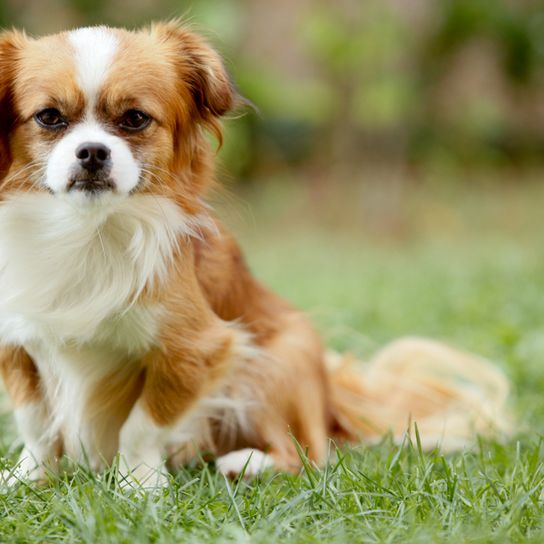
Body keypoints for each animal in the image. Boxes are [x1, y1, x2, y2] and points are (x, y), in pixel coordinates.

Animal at [0, 23, 510, 486]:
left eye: (134, 119)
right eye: (49, 117)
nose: (92, 151)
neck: (86, 232)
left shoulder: (197, 350)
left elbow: (141, 425)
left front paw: (138, 483)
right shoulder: (18, 342)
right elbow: (36, 423)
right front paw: (28, 477)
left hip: (272, 364)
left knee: (307, 455)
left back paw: (247, 463)